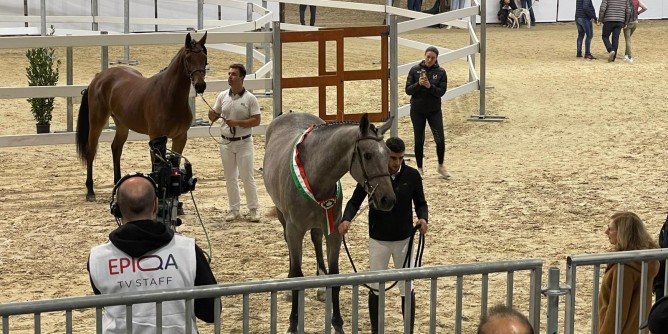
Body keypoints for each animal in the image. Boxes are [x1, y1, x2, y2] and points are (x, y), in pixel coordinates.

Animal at [75, 32, 207, 201]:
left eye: (204, 57)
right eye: (188, 58)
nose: (200, 86)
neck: (169, 96)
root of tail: (99, 77)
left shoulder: (180, 137)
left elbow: (175, 165)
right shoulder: (156, 137)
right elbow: (157, 165)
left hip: (122, 124)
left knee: (116, 148)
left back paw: (118, 184)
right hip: (97, 122)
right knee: (91, 151)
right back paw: (90, 191)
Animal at [262, 112, 396, 334]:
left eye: (387, 154)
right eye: (368, 155)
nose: (388, 200)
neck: (315, 176)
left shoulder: (333, 232)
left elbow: (335, 277)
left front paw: (338, 324)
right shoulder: (294, 231)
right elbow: (297, 275)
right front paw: (293, 323)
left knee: (316, 240)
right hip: (283, 218)